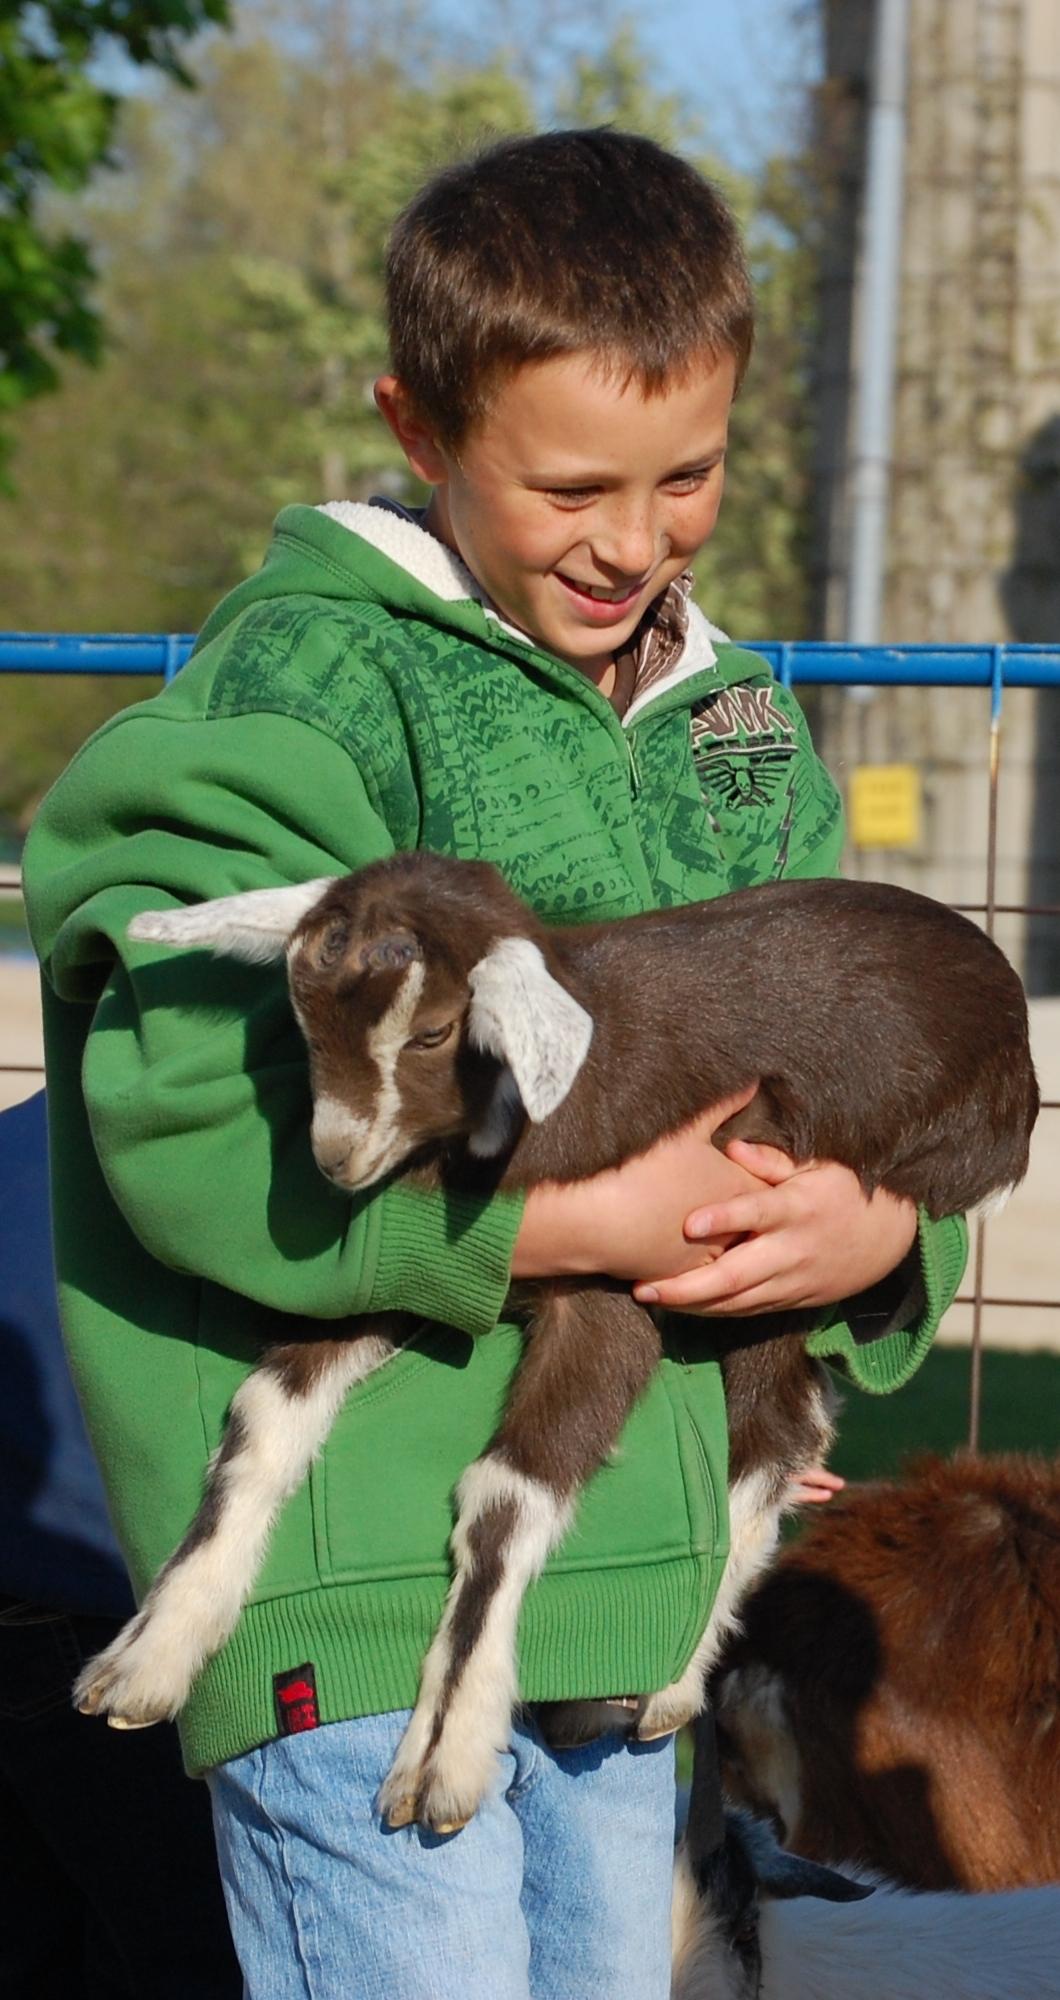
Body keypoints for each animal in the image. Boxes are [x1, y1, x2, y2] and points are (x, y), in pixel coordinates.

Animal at [72, 852, 1032, 1832]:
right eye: (299, 1012)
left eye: (432, 1032)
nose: (337, 1160)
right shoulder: (422, 1272)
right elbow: (267, 1410)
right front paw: (148, 1656)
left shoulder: (616, 1289)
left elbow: (506, 1494)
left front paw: (443, 1759)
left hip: (806, 1245)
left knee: (772, 1440)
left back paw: (667, 1687)